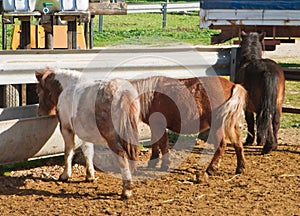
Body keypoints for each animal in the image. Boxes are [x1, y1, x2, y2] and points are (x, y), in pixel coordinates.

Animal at [34, 67, 140, 199]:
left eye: (38, 91)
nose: (40, 114)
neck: (67, 87)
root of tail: (121, 93)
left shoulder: (66, 129)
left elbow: (68, 152)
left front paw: (65, 175)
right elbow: (88, 151)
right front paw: (90, 175)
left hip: (113, 139)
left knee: (122, 157)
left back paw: (127, 190)